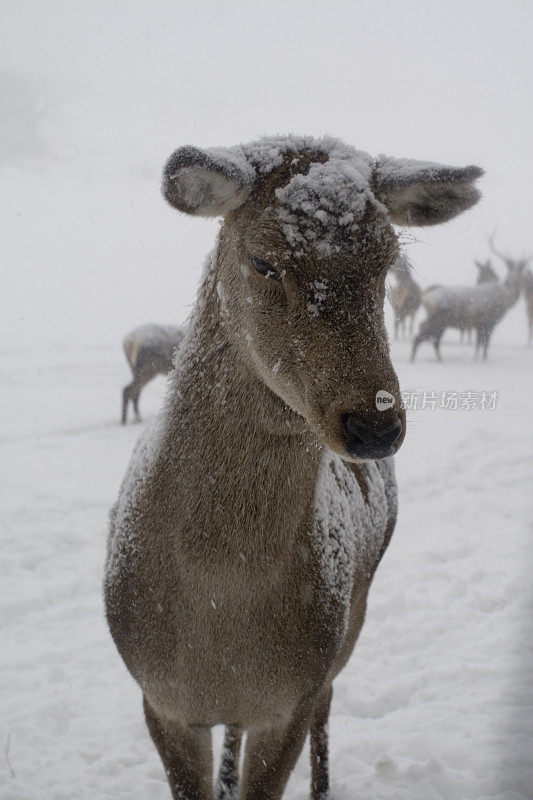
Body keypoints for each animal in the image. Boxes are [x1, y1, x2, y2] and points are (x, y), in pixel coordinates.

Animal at [105, 136, 482, 800]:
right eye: (263, 262)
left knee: (329, 709)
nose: (374, 425)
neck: (218, 613)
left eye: (387, 260)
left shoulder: (294, 693)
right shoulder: (159, 699)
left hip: (352, 624)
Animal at [410, 234, 524, 362]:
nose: (499, 277)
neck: (506, 299)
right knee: (424, 337)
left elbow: (479, 343)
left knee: (431, 337)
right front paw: (482, 359)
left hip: (439, 321)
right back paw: (417, 358)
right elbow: (484, 344)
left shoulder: (479, 324)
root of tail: (425, 298)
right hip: (438, 319)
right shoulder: (489, 321)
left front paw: (476, 358)